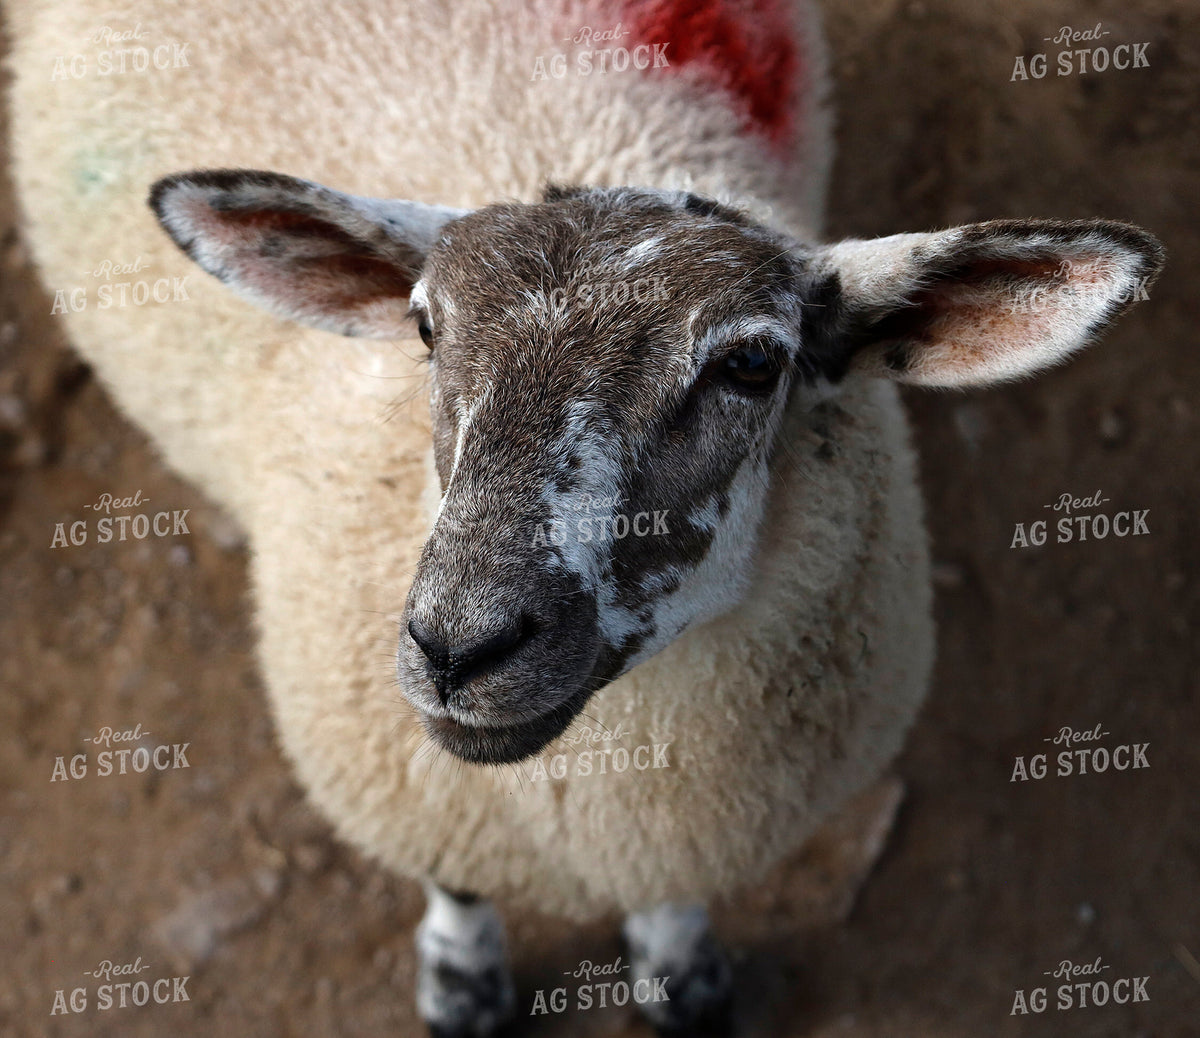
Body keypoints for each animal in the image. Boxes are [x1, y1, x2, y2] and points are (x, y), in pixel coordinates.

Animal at [7, 0, 1163, 1034]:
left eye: (754, 363)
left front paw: (680, 981)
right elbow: (458, 887)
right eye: (424, 328)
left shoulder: (675, 827)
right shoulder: (434, 800)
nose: (459, 647)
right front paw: (461, 985)